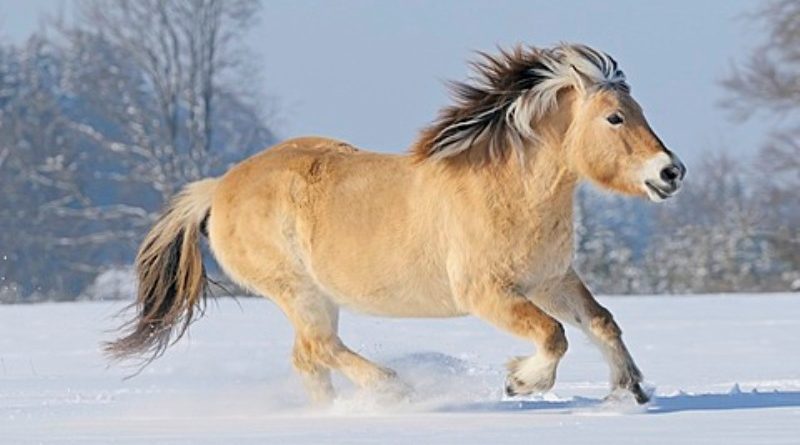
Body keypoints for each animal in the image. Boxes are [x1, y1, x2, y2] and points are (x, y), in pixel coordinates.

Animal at [108, 43, 688, 404]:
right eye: (615, 117)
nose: (671, 172)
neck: (508, 191)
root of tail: (219, 187)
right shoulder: (489, 294)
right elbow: (554, 335)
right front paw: (520, 383)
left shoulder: (551, 280)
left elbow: (601, 322)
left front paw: (630, 391)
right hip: (298, 291)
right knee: (319, 349)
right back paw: (396, 389)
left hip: (316, 297)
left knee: (308, 358)